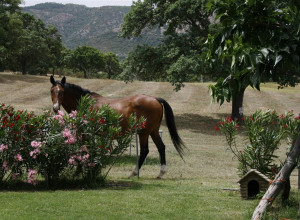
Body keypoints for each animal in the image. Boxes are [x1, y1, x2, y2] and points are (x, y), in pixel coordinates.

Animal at [50, 75, 184, 178]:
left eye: (62, 92)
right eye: (52, 91)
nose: (55, 108)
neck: (85, 103)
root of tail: (155, 99)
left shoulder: (85, 133)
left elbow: (83, 150)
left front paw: (79, 172)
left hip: (144, 133)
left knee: (145, 151)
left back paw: (134, 173)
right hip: (153, 131)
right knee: (161, 147)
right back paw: (161, 173)